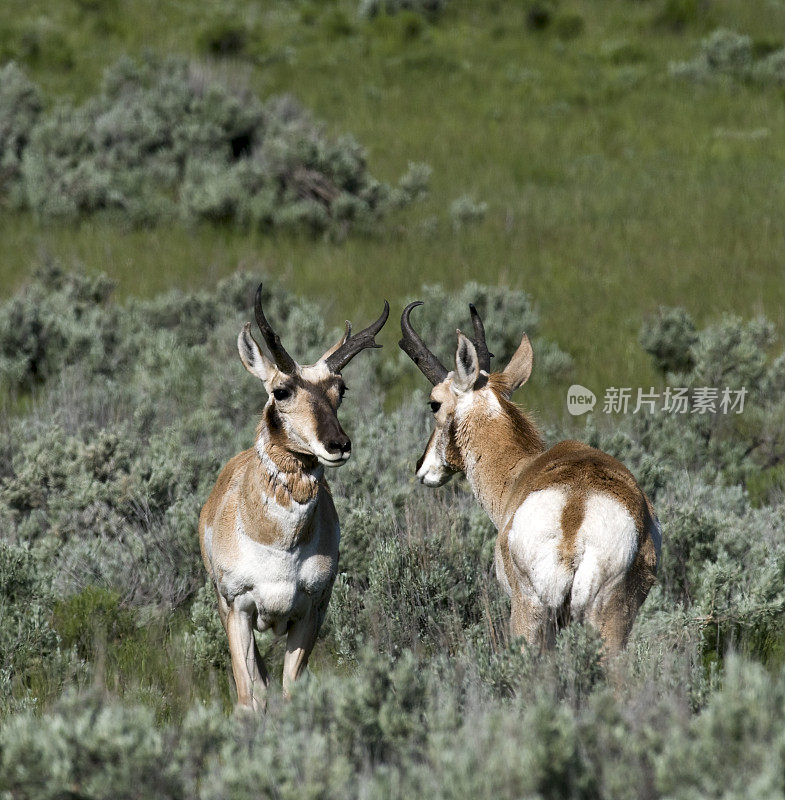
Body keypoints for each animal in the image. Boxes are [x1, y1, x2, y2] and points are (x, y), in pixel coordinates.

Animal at [199, 286, 388, 708]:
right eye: (281, 391)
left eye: (341, 390)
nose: (339, 445)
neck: (281, 548)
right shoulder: (238, 608)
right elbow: (248, 698)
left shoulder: (311, 612)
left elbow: (290, 692)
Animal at [398, 304, 660, 652]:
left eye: (434, 403)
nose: (422, 467)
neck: (522, 469)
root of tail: (575, 512)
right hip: (608, 626)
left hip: (531, 617)